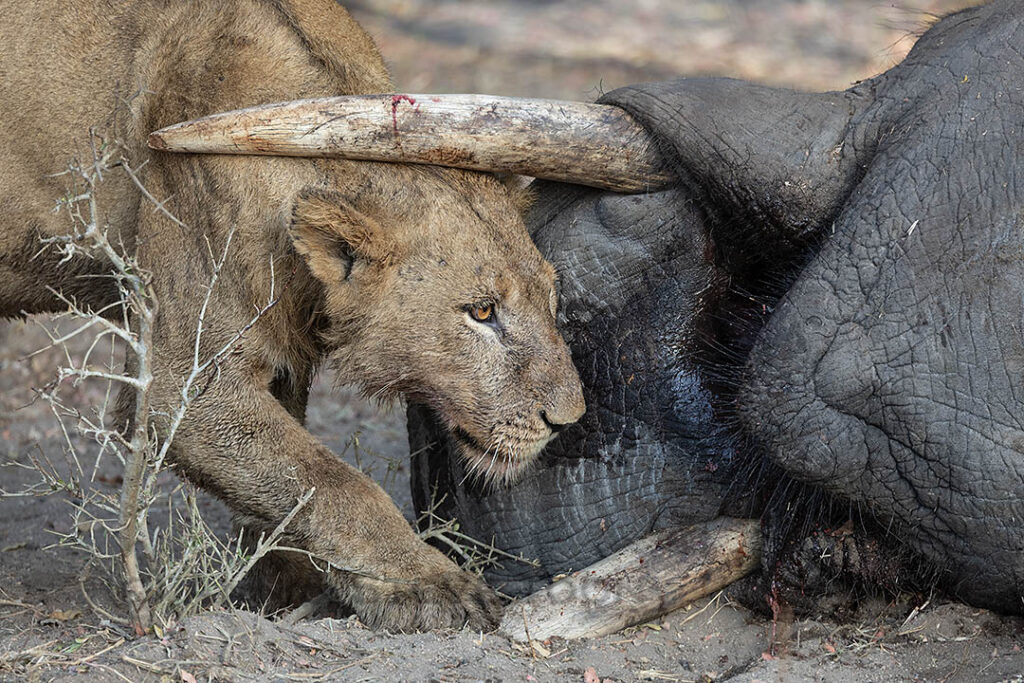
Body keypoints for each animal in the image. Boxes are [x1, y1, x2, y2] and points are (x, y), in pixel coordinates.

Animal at [0, 0, 584, 631]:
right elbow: (333, 481)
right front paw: (433, 586)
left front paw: (283, 587)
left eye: (551, 301)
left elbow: (291, 475)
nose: (569, 419)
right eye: (482, 311)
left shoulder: (283, 355)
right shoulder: (182, 386)